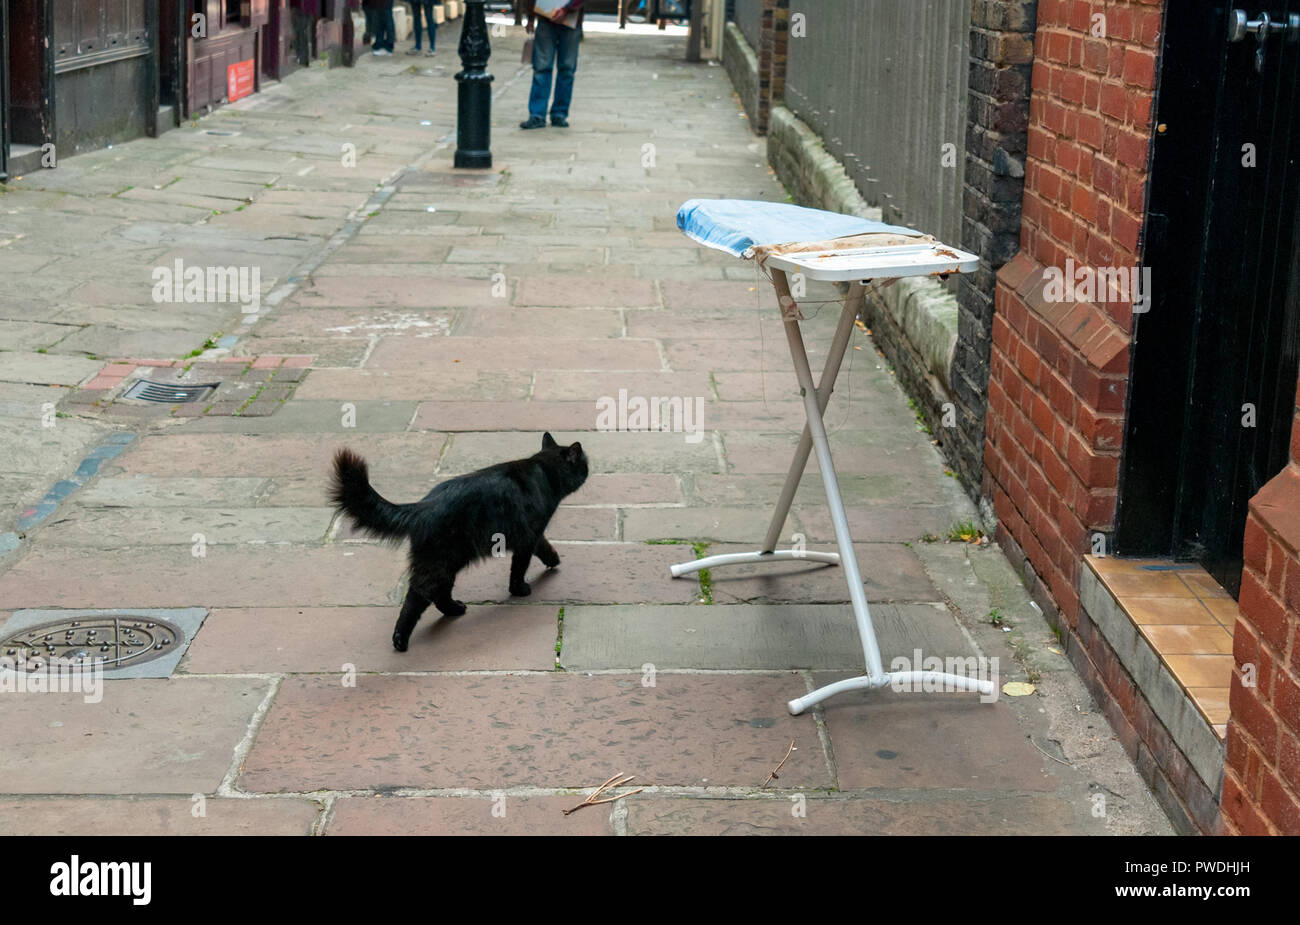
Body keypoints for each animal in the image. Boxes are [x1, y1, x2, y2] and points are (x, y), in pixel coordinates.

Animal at [330, 433, 590, 649]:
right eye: (583, 463)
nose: (589, 467)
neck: (543, 471)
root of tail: (424, 505)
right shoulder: (529, 535)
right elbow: (520, 566)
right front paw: (520, 589)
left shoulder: (530, 536)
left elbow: (542, 548)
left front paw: (553, 560)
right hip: (439, 564)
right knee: (416, 597)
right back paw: (400, 640)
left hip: (449, 563)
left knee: (439, 595)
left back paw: (455, 609)